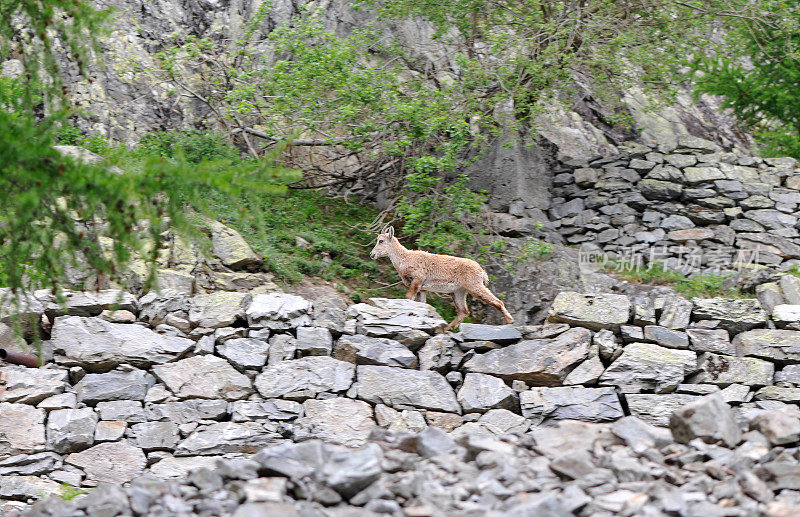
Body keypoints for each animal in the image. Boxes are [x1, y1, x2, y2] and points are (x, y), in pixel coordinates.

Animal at [368, 226, 512, 330]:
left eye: (381, 241)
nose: (371, 254)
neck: (404, 259)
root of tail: (482, 272)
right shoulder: (422, 289)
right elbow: (421, 304)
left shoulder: (417, 280)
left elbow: (408, 298)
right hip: (458, 291)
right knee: (463, 311)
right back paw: (448, 328)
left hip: (474, 286)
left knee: (498, 302)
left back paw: (510, 321)